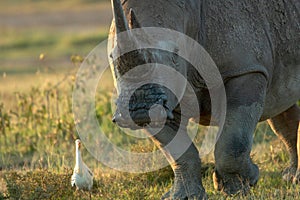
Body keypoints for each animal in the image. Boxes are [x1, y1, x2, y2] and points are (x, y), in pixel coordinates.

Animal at [108, 0, 300, 198]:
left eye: (175, 56)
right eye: (112, 57)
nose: (139, 109)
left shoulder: (245, 70)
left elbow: (233, 141)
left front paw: (240, 186)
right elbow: (177, 150)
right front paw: (183, 196)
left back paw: (294, 179)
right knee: (279, 107)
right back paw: (290, 176)